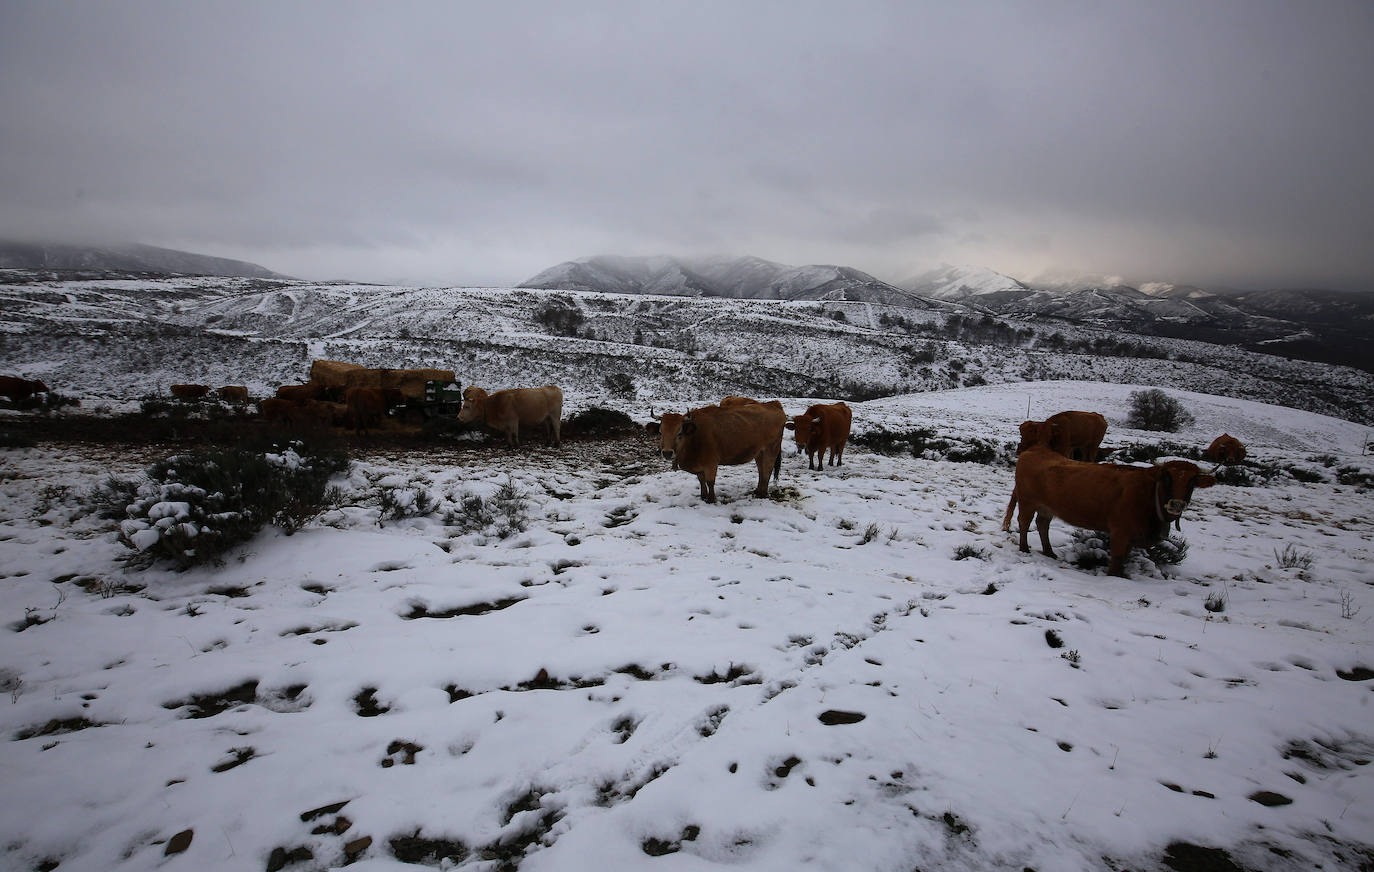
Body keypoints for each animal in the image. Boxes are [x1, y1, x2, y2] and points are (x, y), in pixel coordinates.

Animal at [643, 398, 785, 502]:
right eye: (661, 432)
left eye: (679, 433)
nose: (667, 453)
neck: (694, 438)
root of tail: (773, 404)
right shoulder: (699, 466)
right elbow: (701, 480)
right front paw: (703, 496)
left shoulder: (711, 463)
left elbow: (710, 482)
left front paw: (711, 499)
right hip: (759, 452)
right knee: (761, 470)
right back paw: (757, 490)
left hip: (771, 449)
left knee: (767, 470)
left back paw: (762, 494)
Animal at [1011, 450, 1214, 579]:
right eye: (1167, 477)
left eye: (1193, 480)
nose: (1176, 504)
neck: (1149, 493)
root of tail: (1033, 451)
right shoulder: (1120, 531)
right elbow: (1116, 558)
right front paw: (1113, 577)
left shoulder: (1131, 536)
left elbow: (1123, 557)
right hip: (1028, 502)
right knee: (1024, 522)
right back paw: (1024, 548)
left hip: (1046, 508)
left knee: (1042, 524)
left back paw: (1049, 552)